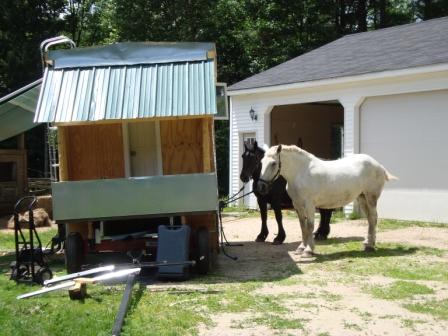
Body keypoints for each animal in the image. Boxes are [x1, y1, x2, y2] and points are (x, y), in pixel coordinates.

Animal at [258, 144, 398, 258]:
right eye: (261, 162)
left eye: (273, 163)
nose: (261, 187)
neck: (301, 172)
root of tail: (379, 165)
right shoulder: (298, 205)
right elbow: (303, 226)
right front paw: (301, 248)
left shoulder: (309, 205)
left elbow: (310, 226)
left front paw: (308, 250)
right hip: (362, 197)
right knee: (370, 219)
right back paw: (368, 243)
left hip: (371, 197)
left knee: (373, 218)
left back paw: (371, 246)